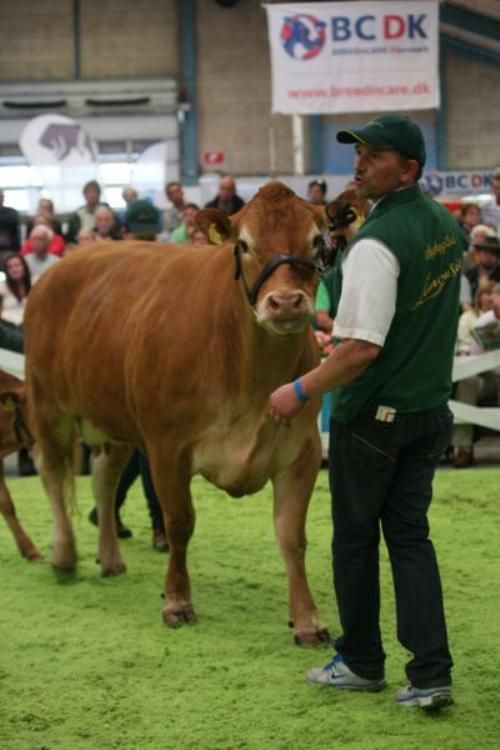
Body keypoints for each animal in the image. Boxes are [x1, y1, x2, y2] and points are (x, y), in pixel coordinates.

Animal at [23, 182, 328, 648]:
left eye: (315, 241)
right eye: (243, 244)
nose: (287, 302)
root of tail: (61, 268)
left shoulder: (303, 449)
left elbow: (292, 536)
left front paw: (308, 619)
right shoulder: (167, 447)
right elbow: (180, 523)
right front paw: (178, 602)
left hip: (114, 417)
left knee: (103, 477)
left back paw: (110, 557)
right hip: (47, 401)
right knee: (53, 470)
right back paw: (64, 555)